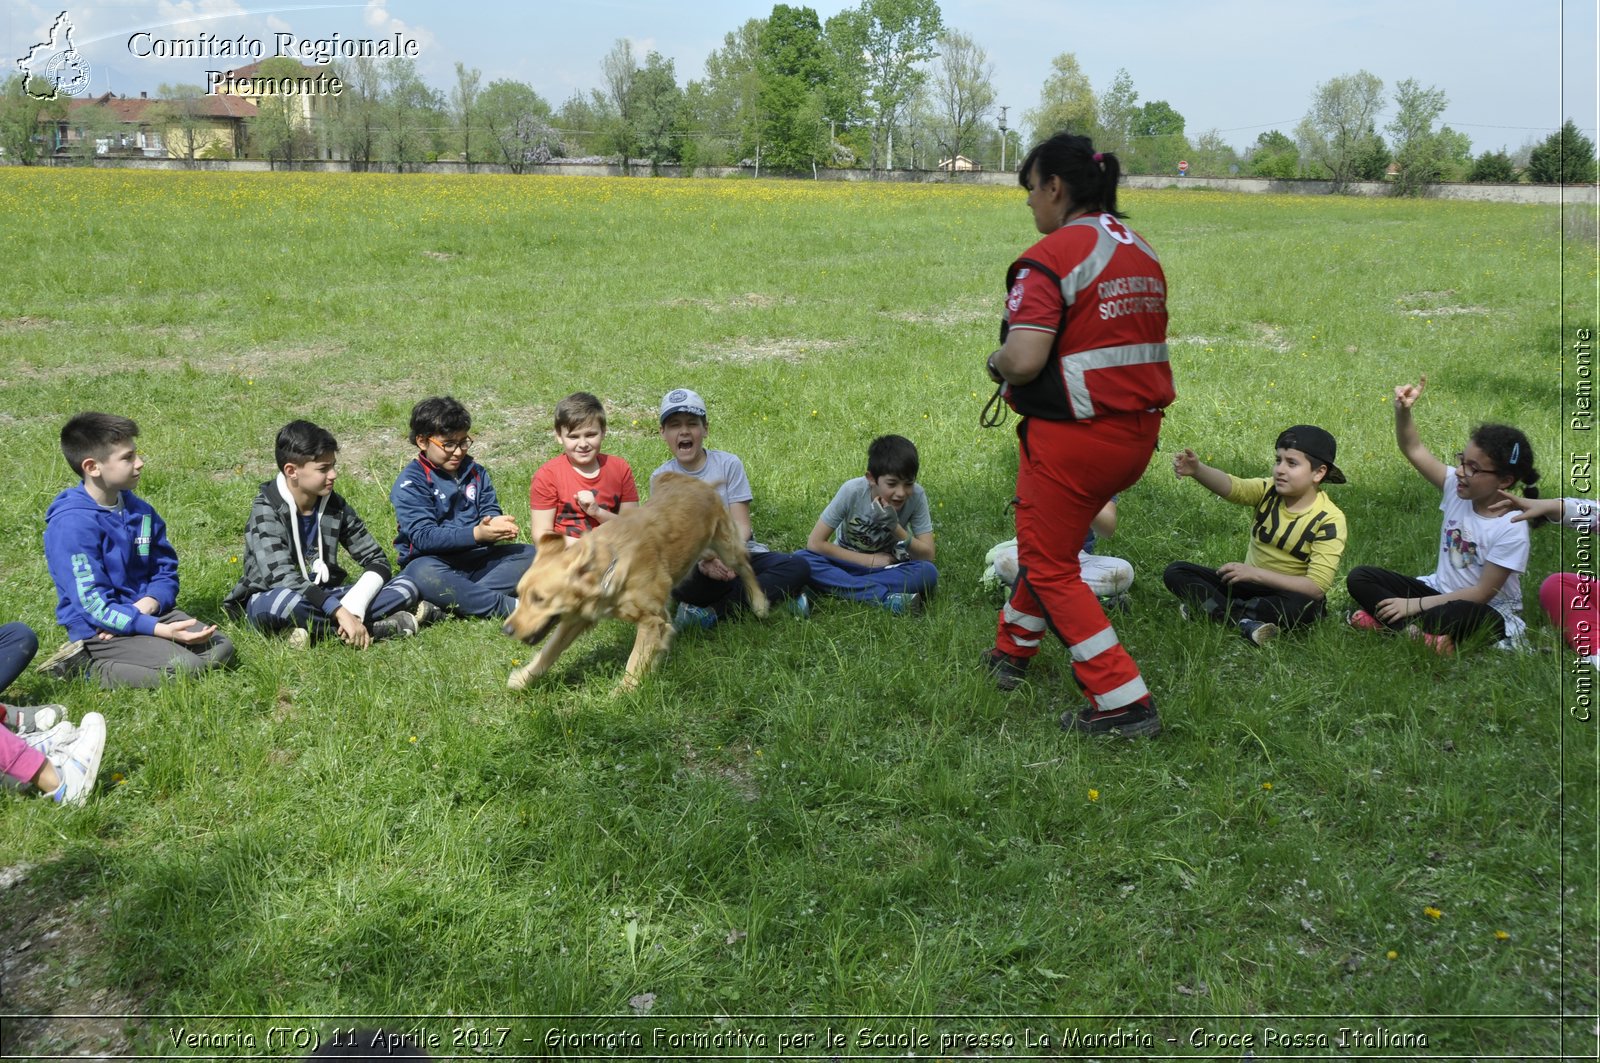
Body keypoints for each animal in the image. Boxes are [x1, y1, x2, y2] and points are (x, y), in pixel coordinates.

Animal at [502, 470, 771, 688]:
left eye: (539, 599)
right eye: (520, 594)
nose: (506, 629)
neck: (611, 567)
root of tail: (696, 481)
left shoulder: (650, 620)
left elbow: (634, 663)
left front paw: (622, 695)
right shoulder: (577, 618)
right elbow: (550, 650)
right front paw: (523, 678)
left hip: (726, 547)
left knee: (746, 567)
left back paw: (759, 604)